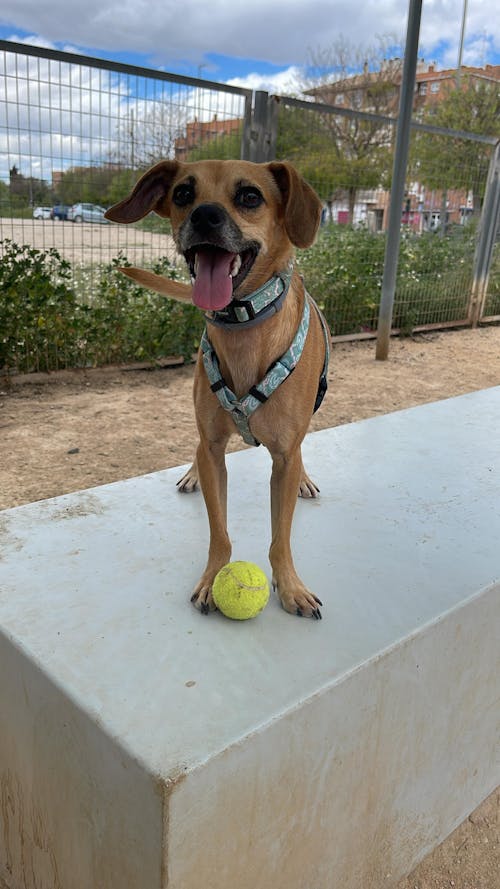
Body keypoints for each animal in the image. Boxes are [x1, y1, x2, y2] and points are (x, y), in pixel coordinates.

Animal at [105, 159, 330, 619]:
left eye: (250, 196)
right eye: (182, 193)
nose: (204, 215)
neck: (244, 330)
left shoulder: (285, 455)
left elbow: (281, 536)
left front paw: (290, 586)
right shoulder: (213, 447)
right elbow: (219, 531)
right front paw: (212, 579)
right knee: (197, 449)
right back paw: (192, 472)